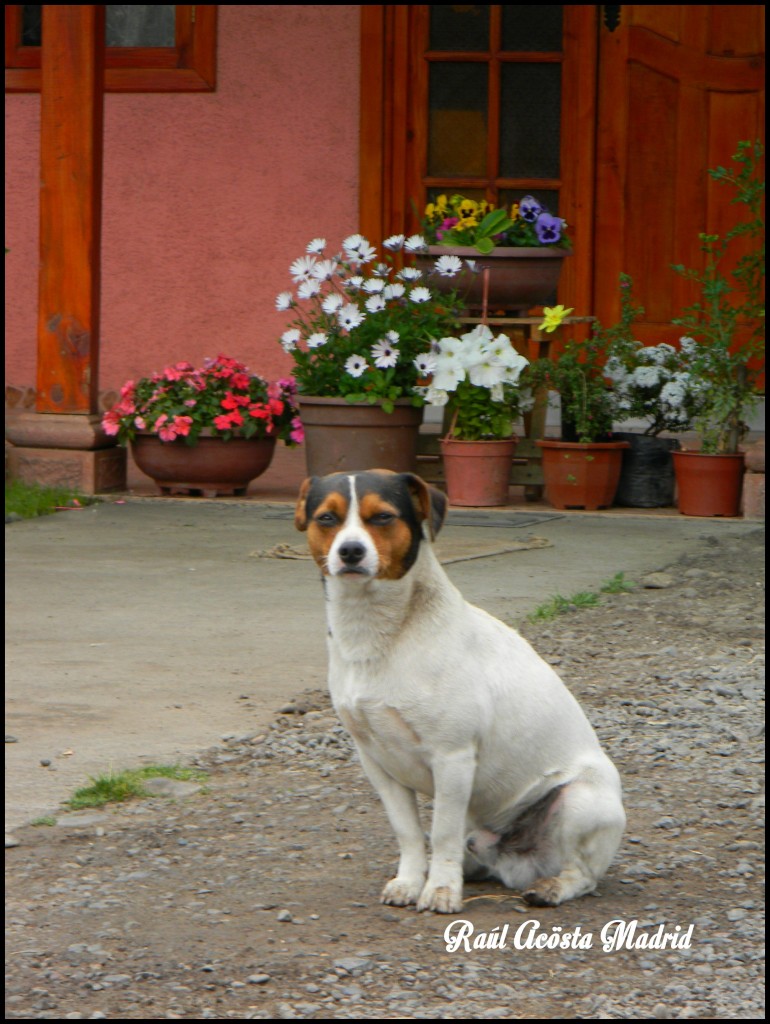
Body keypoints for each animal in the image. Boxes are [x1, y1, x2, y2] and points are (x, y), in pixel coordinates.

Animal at [294, 471, 626, 913]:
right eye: (327, 518)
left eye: (382, 517)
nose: (350, 551)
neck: (383, 635)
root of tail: (515, 862)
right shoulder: (377, 763)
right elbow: (410, 833)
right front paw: (410, 881)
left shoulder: (451, 758)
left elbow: (442, 833)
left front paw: (440, 890)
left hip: (580, 801)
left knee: (583, 875)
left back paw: (551, 887)